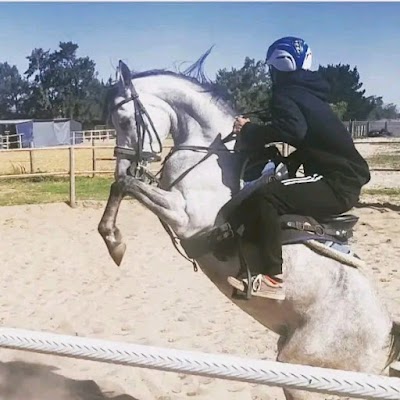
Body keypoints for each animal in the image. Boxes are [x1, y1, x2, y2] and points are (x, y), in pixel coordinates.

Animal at [98, 53, 400, 400]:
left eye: (124, 120)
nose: (125, 163)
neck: (210, 152)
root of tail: (386, 335)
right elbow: (122, 186)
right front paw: (114, 241)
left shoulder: (185, 217)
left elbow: (125, 185)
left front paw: (114, 242)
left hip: (303, 370)